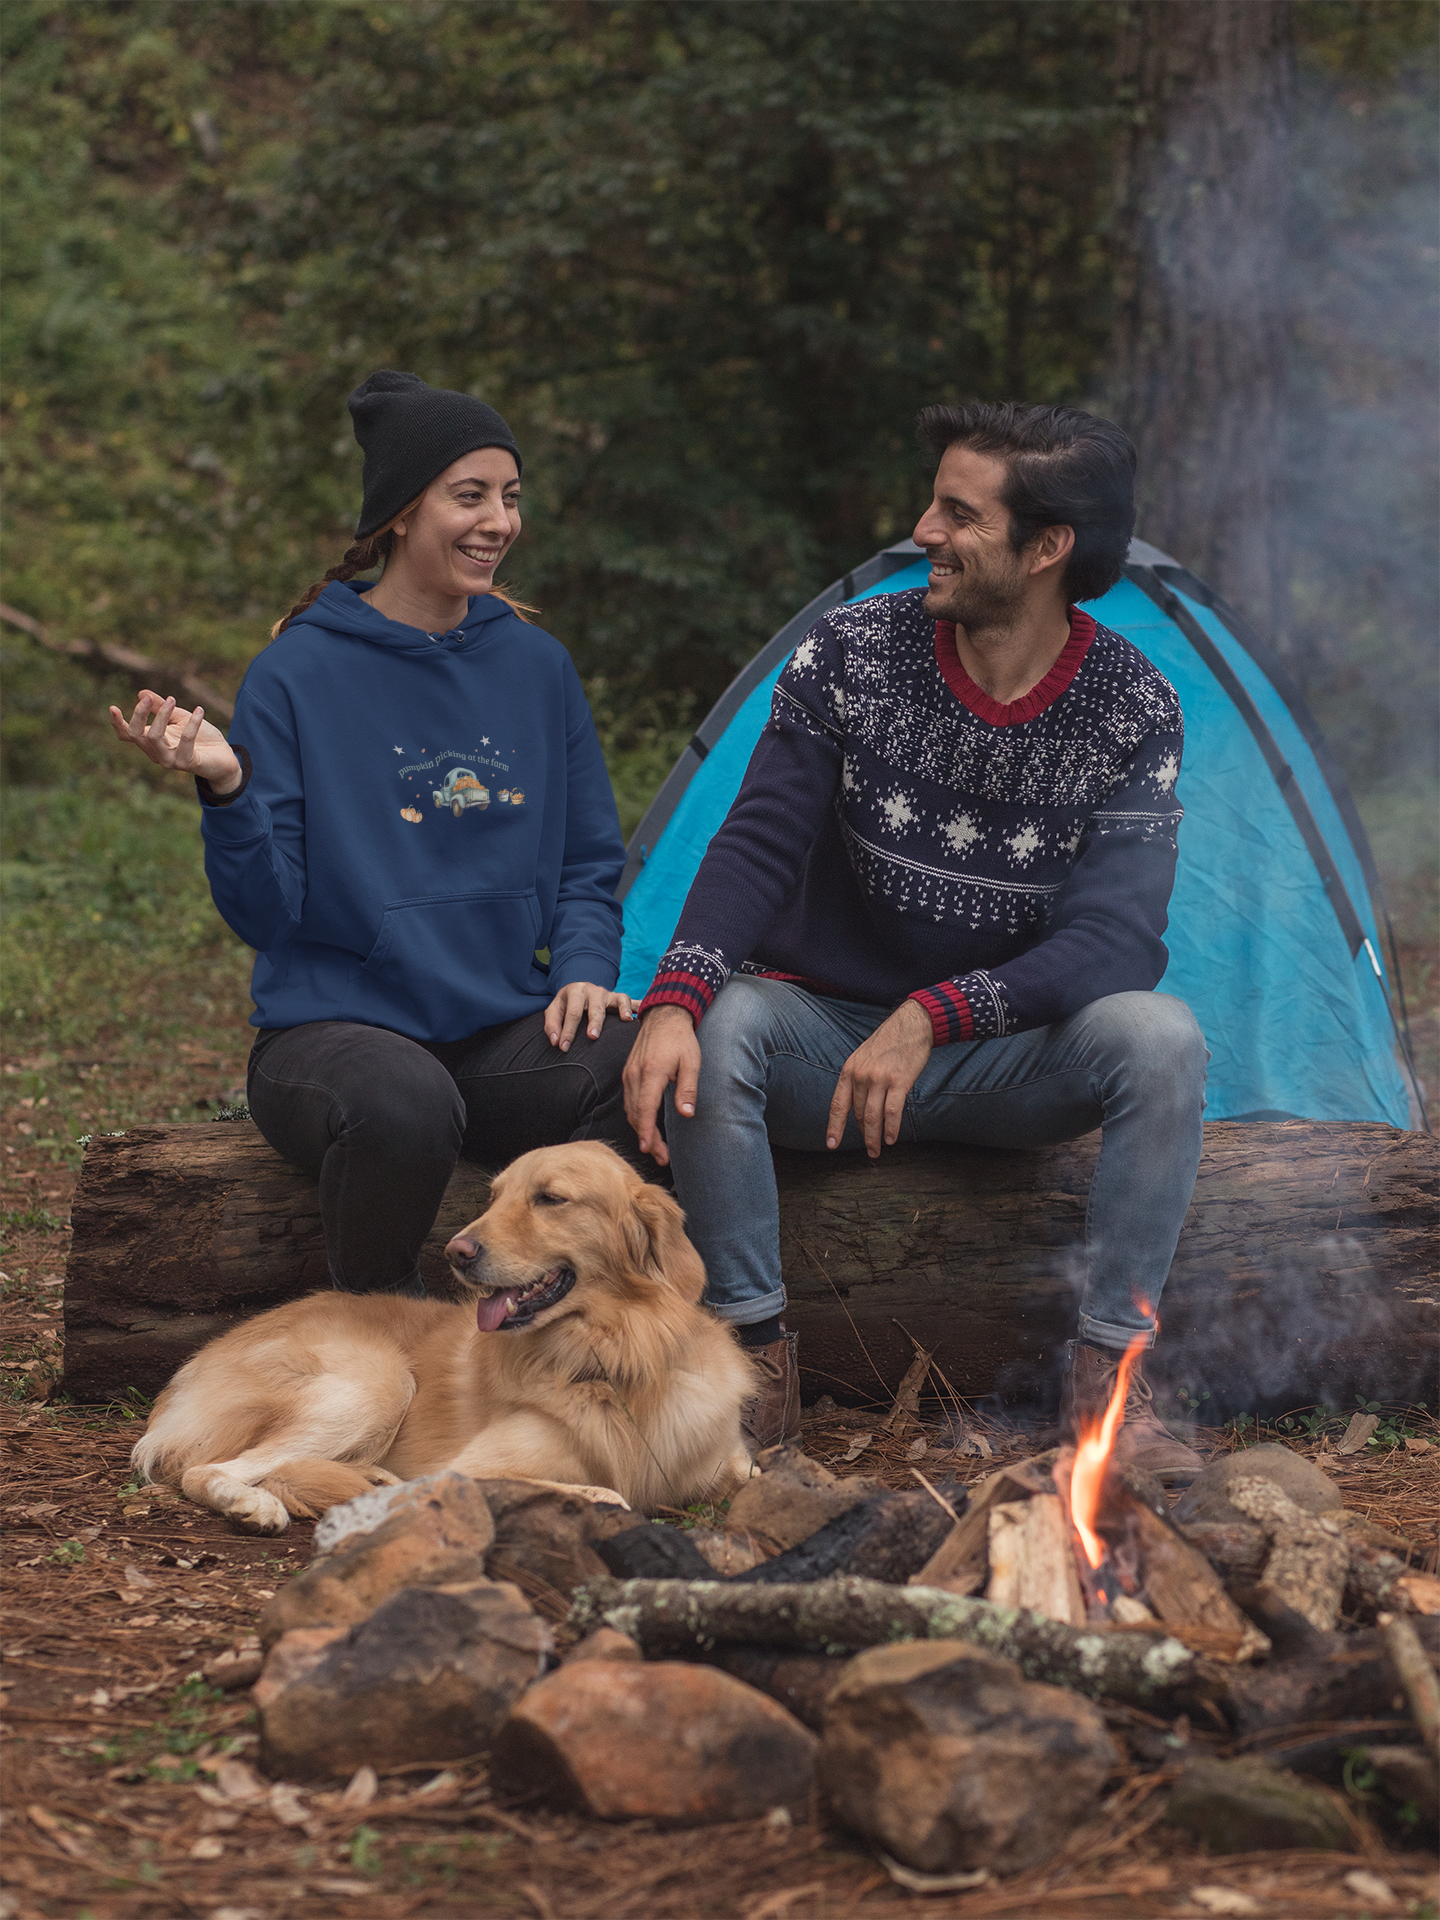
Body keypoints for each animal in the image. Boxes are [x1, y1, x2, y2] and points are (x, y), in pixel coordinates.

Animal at [131, 1136, 756, 1528]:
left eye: (550, 1198)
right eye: (494, 1197)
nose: (457, 1252)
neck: (612, 1357)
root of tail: (201, 1356)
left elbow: (758, 1471)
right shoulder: (471, 1467)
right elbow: (610, 1495)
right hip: (375, 1384)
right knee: (207, 1468)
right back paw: (256, 1505)